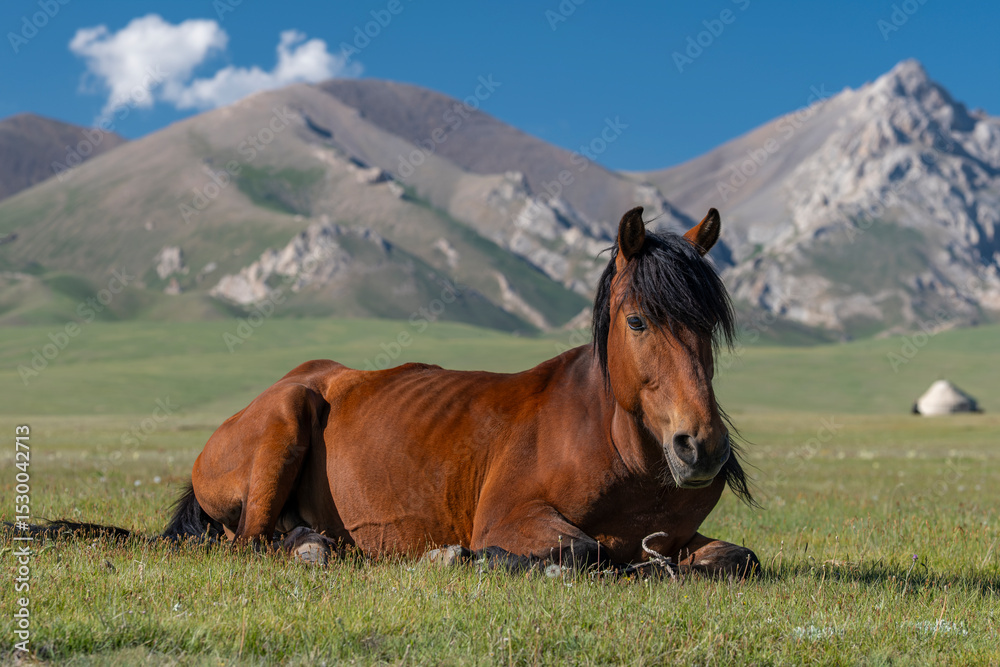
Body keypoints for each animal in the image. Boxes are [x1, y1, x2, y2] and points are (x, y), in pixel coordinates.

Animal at [153, 205, 759, 577]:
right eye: (637, 322)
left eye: (709, 325)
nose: (701, 447)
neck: (623, 457)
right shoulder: (510, 519)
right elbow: (583, 551)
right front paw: (456, 557)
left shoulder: (676, 539)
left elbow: (740, 558)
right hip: (289, 412)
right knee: (249, 544)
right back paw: (311, 549)